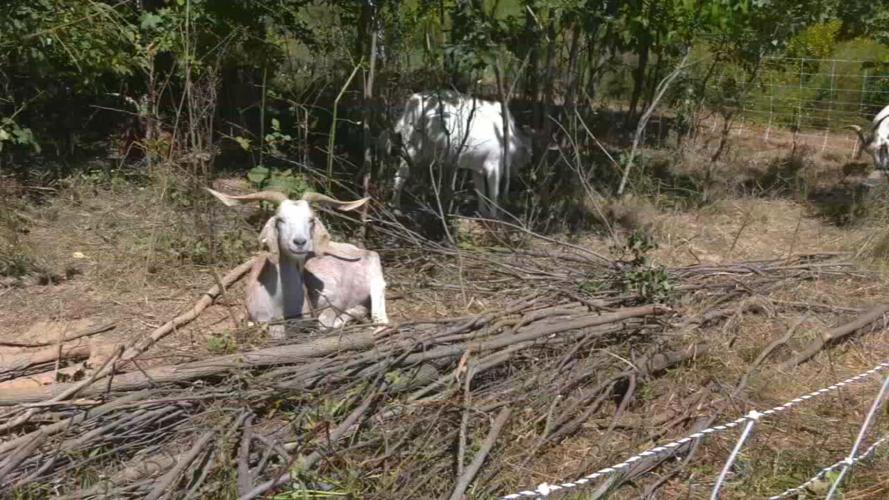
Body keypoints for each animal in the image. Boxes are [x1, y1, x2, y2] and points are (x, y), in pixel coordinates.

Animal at [206, 188, 388, 338]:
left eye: (311, 220)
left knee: (382, 319)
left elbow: (323, 324)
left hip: (373, 270)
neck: (280, 305)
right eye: (280, 219)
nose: (300, 242)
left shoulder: (331, 303)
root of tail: (359, 250)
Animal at [390, 90, 531, 218]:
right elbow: (493, 195)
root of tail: (411, 102)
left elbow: (480, 191)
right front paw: (493, 217)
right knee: (400, 175)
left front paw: (483, 212)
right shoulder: (494, 166)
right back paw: (396, 209)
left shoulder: (477, 168)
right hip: (412, 148)